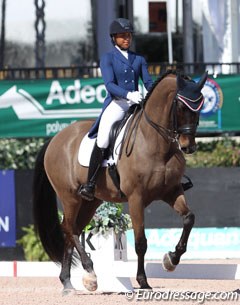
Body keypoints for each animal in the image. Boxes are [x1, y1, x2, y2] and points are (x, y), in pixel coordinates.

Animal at [32, 70, 207, 294]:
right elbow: (141, 242)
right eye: (181, 106)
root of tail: (55, 139)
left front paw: (171, 259)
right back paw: (90, 273)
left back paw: (68, 282)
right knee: (69, 228)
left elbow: (189, 218)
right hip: (69, 197)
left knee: (74, 230)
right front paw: (143, 281)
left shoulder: (172, 191)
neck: (156, 142)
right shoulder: (136, 198)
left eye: (200, 106)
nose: (188, 147)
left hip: (90, 201)